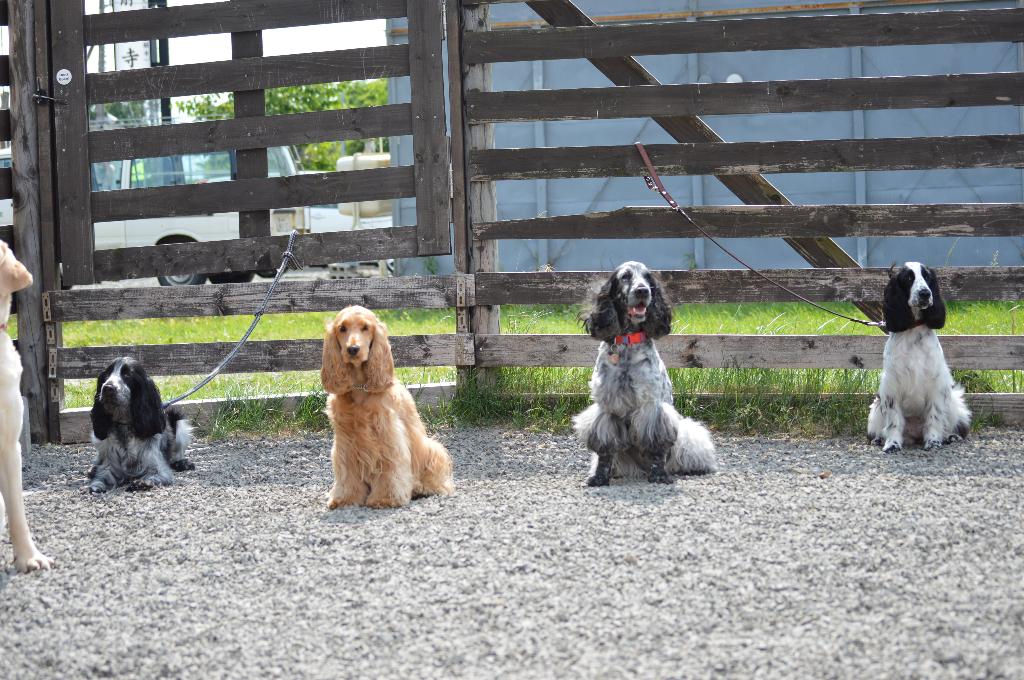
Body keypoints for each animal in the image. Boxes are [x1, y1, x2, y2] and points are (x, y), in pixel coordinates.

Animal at [88, 357, 194, 492]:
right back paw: (92, 469)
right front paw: (96, 485)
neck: (124, 425)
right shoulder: (110, 464)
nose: (107, 387)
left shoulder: (158, 468)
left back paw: (181, 463)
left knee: (176, 454)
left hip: (179, 422)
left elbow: (154, 475)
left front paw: (142, 483)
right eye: (106, 375)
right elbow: (102, 476)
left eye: (127, 375)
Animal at [321, 306, 453, 509]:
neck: (360, 387)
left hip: (432, 449)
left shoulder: (388, 436)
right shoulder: (345, 442)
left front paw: (385, 498)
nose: (353, 349)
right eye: (342, 328)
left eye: (365, 327)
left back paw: (421, 487)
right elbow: (347, 472)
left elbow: (390, 469)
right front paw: (346, 498)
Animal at [572, 261, 717, 485]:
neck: (627, 344)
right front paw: (599, 477)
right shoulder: (607, 408)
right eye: (625, 276)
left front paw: (659, 476)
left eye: (648, 278)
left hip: (687, 431)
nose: (642, 291)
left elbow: (656, 445)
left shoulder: (651, 407)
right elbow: (605, 448)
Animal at [867, 262, 971, 452]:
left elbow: (934, 417)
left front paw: (933, 442)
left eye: (927, 277)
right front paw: (892, 444)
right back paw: (878, 439)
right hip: (876, 408)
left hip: (954, 402)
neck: (913, 329)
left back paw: (950, 436)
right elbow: (894, 421)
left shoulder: (936, 384)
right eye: (908, 278)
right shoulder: (891, 387)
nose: (925, 293)